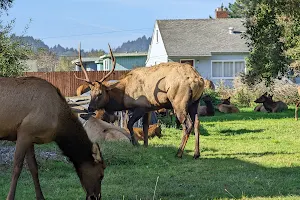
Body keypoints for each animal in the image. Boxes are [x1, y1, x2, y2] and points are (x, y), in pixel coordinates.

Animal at [76, 44, 205, 159]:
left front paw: (135, 143)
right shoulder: (149, 108)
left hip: (179, 102)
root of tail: (198, 80)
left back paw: (179, 153)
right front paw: (145, 145)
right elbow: (145, 126)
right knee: (197, 122)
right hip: (195, 102)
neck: (123, 96)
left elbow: (129, 124)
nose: (90, 108)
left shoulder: (140, 107)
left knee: (188, 124)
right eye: (91, 93)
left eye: (100, 93)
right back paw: (196, 154)